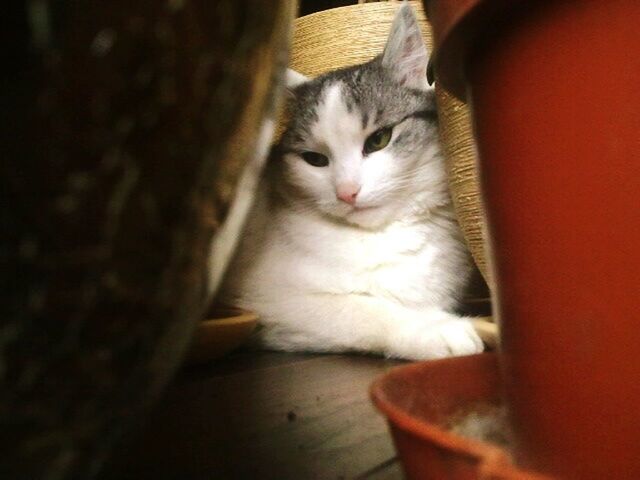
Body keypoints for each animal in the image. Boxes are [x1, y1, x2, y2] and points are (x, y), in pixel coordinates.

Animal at [218, 3, 482, 360]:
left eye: (379, 140)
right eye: (315, 159)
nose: (346, 192)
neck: (386, 234)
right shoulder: (271, 301)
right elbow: (361, 308)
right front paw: (434, 327)